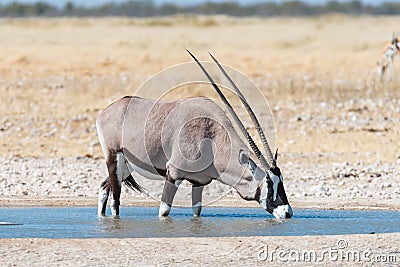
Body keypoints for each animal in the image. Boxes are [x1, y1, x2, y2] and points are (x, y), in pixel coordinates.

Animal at [95, 51, 292, 219]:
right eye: (269, 183)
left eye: (281, 180)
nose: (287, 212)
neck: (211, 137)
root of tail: (106, 111)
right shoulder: (173, 174)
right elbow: (164, 211)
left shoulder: (199, 182)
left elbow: (197, 211)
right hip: (114, 158)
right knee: (115, 198)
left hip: (127, 166)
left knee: (104, 187)